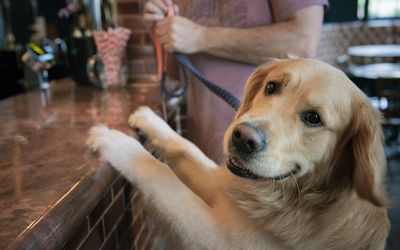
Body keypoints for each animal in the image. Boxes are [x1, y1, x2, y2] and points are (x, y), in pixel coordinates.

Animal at [88, 58, 390, 248]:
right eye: (271, 86)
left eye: (313, 118)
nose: (243, 138)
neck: (303, 199)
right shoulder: (224, 189)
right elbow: (184, 146)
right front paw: (148, 118)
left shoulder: (218, 237)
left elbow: (162, 176)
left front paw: (117, 143)